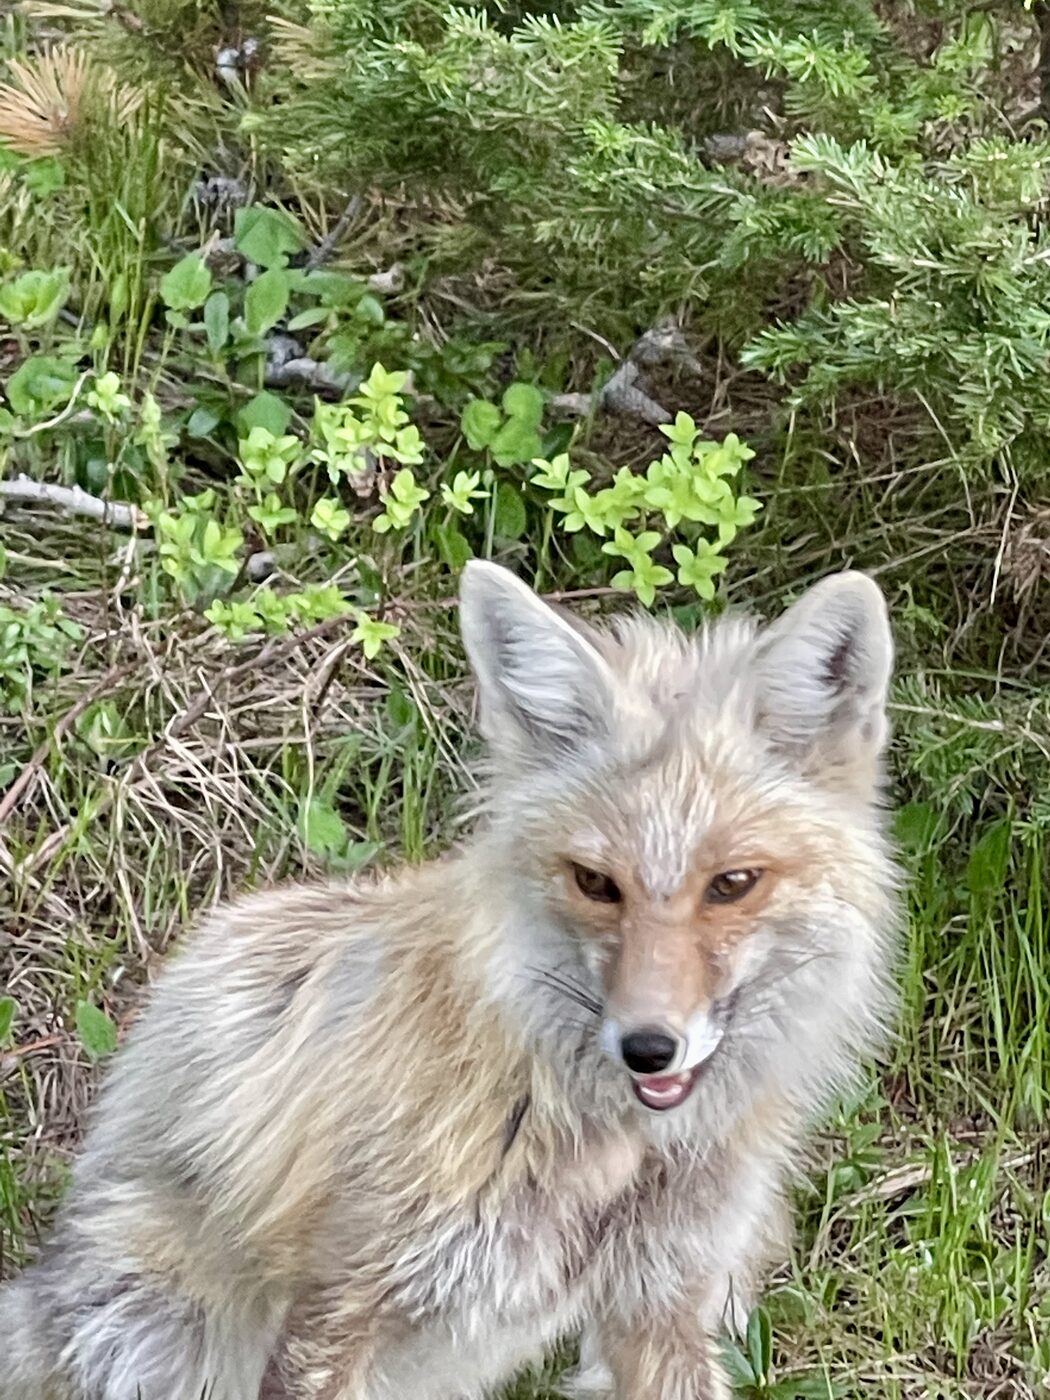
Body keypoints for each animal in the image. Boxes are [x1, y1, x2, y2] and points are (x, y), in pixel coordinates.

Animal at [1, 560, 900, 1400]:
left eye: (733, 884)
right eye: (595, 883)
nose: (648, 1047)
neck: (597, 1158)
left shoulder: (659, 1304)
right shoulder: (338, 1306)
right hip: (151, 1317)